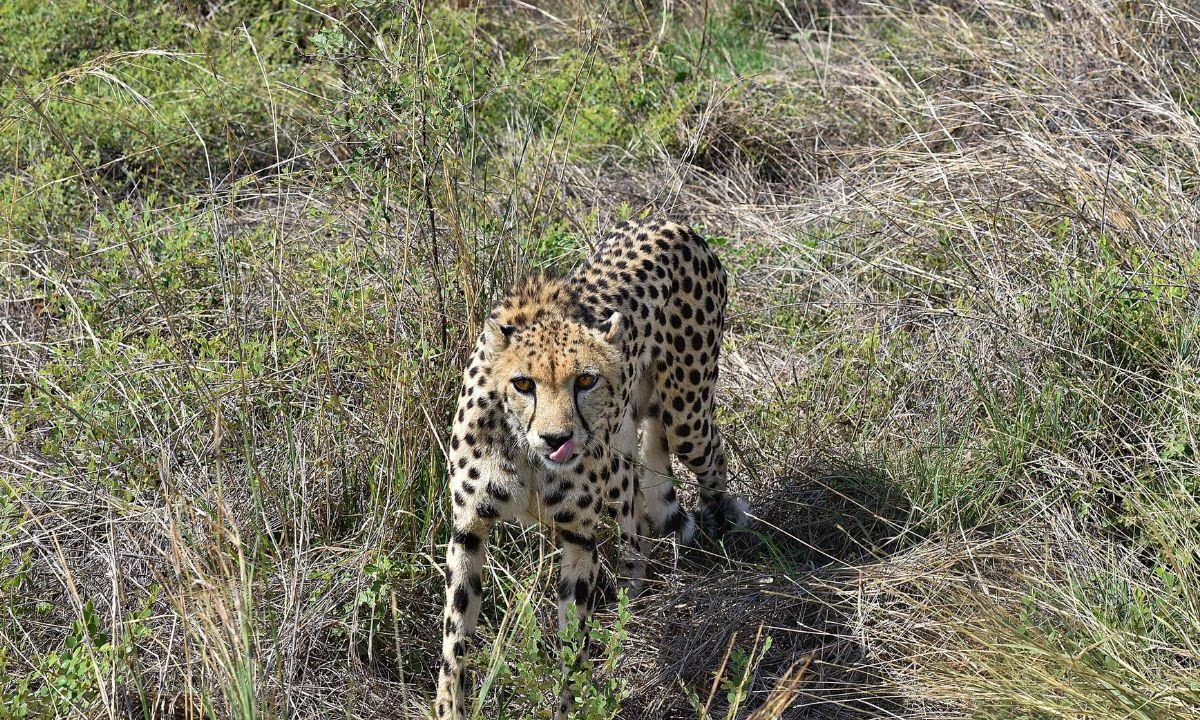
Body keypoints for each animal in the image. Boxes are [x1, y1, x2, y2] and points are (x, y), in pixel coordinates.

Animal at [434, 219, 747, 720]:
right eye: (523, 383)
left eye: (585, 380)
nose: (556, 438)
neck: (527, 453)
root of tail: (670, 223)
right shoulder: (468, 528)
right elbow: (455, 632)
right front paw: (450, 704)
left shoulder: (578, 535)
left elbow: (572, 642)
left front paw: (571, 702)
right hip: (624, 453)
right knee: (637, 507)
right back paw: (631, 599)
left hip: (687, 418)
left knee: (711, 457)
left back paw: (718, 528)